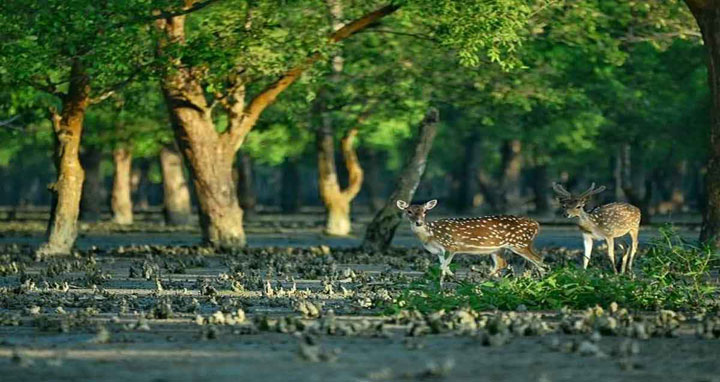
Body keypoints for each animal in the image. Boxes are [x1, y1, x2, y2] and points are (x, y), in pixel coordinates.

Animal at [394, 198, 544, 282]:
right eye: (409, 211)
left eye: (425, 211)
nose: (419, 222)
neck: (431, 235)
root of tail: (536, 224)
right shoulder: (439, 252)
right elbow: (444, 266)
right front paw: (454, 281)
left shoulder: (451, 246)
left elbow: (443, 266)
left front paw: (443, 286)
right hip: (498, 249)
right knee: (502, 263)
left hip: (520, 243)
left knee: (538, 259)